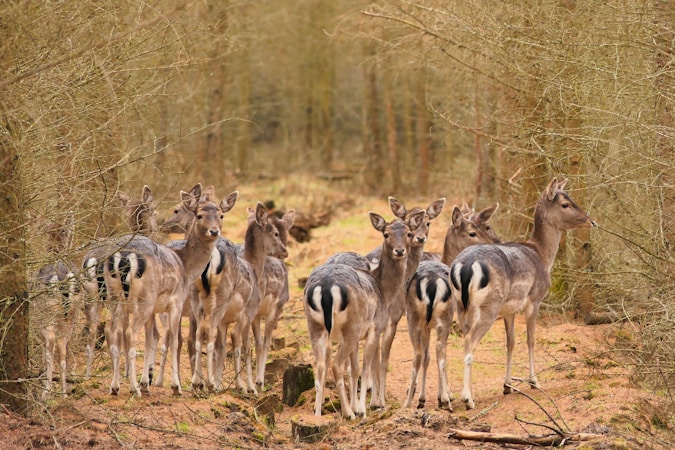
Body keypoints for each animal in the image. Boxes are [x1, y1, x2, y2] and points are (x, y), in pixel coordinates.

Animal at [102, 183, 225, 396]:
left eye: (221, 215)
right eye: (199, 215)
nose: (214, 231)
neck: (186, 266)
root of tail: (123, 257)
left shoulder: (155, 310)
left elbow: (152, 339)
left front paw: (147, 382)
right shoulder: (175, 303)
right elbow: (174, 341)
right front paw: (176, 387)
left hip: (115, 297)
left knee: (114, 332)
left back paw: (115, 387)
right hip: (144, 298)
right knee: (130, 333)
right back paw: (134, 388)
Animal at [304, 209, 425, 419]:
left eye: (408, 233)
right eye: (386, 234)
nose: (399, 251)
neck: (383, 289)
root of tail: (326, 287)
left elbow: (355, 368)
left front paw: (360, 405)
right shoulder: (375, 327)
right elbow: (367, 365)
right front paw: (362, 408)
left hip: (315, 326)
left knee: (320, 366)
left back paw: (317, 414)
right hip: (350, 327)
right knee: (336, 365)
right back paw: (348, 413)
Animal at [402, 204, 501, 410]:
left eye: (483, 227)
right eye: (472, 232)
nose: (494, 243)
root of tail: (430, 283)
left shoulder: (426, 325)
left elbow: (426, 356)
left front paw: (422, 397)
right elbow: (439, 354)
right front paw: (444, 395)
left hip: (414, 318)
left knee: (418, 353)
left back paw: (408, 403)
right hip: (443, 318)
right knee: (440, 348)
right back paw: (445, 401)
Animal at [449, 177, 596, 409]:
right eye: (565, 203)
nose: (591, 221)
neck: (543, 256)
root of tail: (463, 267)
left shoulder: (509, 310)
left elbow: (510, 343)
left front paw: (507, 385)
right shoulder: (534, 299)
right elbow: (530, 339)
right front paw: (534, 381)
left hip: (459, 305)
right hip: (489, 306)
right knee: (470, 340)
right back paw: (468, 399)